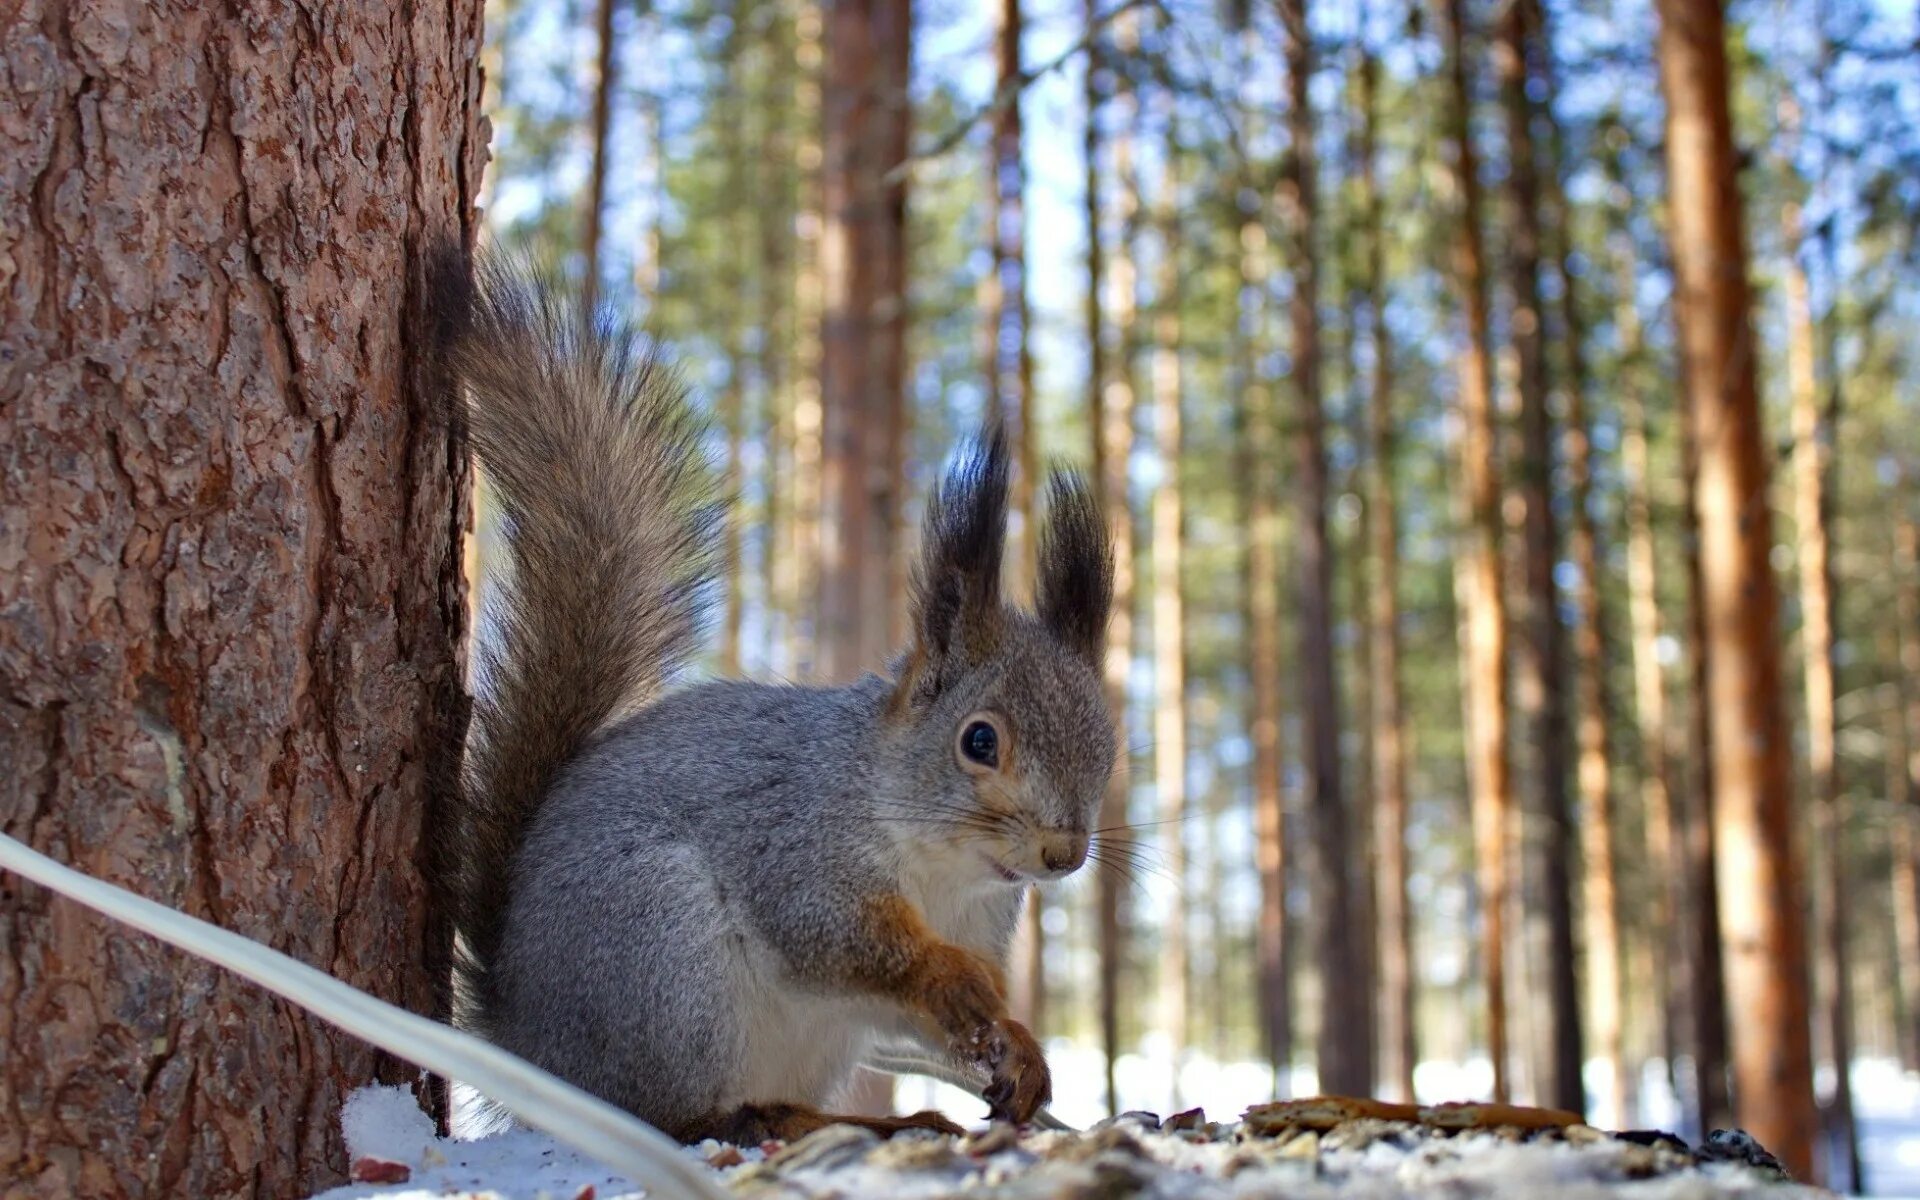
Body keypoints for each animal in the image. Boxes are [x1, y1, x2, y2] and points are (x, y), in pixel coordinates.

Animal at [435, 249, 1121, 1144]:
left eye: (1109, 749)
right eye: (979, 741)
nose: (1062, 855)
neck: (940, 866)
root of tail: (530, 1047)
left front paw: (1016, 1046)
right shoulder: (792, 845)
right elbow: (839, 940)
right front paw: (951, 978)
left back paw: (865, 1122)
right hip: (664, 951)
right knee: (664, 1113)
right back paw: (762, 1118)